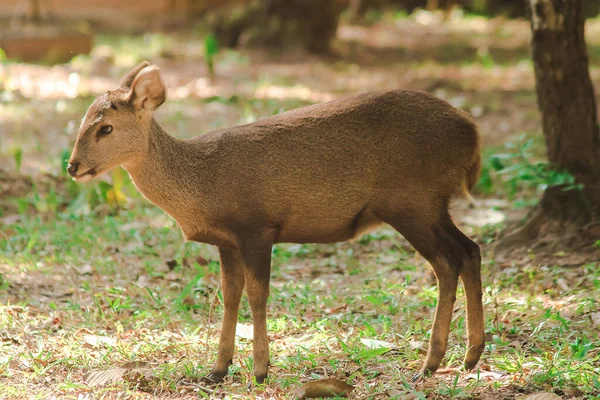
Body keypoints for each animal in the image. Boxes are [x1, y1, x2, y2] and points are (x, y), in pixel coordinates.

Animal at [68, 61, 486, 384]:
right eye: (83, 121)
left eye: (105, 128)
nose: (72, 167)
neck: (201, 185)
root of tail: (472, 133)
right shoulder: (226, 240)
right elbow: (229, 295)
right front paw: (217, 370)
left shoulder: (257, 227)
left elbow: (258, 295)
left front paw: (260, 370)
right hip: (430, 206)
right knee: (469, 250)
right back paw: (468, 356)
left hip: (411, 202)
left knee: (447, 261)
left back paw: (430, 364)